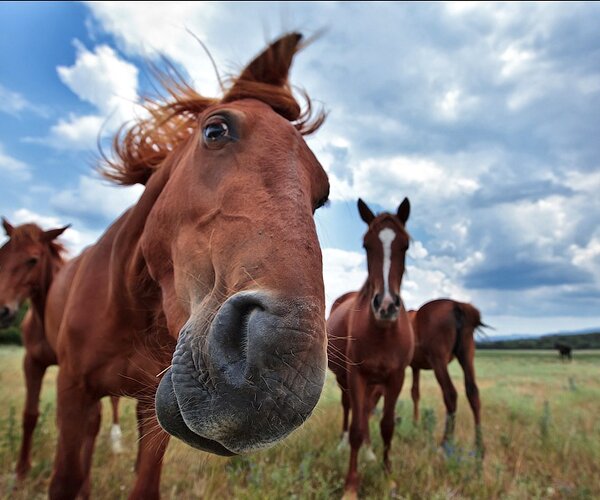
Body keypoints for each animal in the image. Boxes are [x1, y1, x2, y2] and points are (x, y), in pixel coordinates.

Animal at [0, 220, 123, 480]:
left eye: (33, 260)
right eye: (1, 255)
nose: (2, 311)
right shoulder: (33, 362)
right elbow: (30, 415)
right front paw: (22, 471)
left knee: (114, 403)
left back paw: (116, 441)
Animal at [44, 33, 330, 498]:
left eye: (321, 195)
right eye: (215, 130)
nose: (281, 374)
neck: (129, 306)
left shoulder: (149, 409)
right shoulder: (72, 392)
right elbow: (65, 479)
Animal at [326, 197, 414, 498]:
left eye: (405, 245)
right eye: (366, 245)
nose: (386, 306)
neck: (382, 331)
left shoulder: (396, 377)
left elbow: (386, 426)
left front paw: (388, 478)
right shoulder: (356, 376)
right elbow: (355, 426)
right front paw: (351, 485)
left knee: (364, 412)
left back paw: (369, 451)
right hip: (344, 378)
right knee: (349, 409)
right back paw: (342, 444)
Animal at [408, 298, 488, 458]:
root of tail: (457, 305)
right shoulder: (415, 367)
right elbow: (415, 393)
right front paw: (415, 424)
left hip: (438, 360)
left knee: (450, 394)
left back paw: (445, 444)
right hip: (467, 355)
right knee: (473, 393)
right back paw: (479, 448)